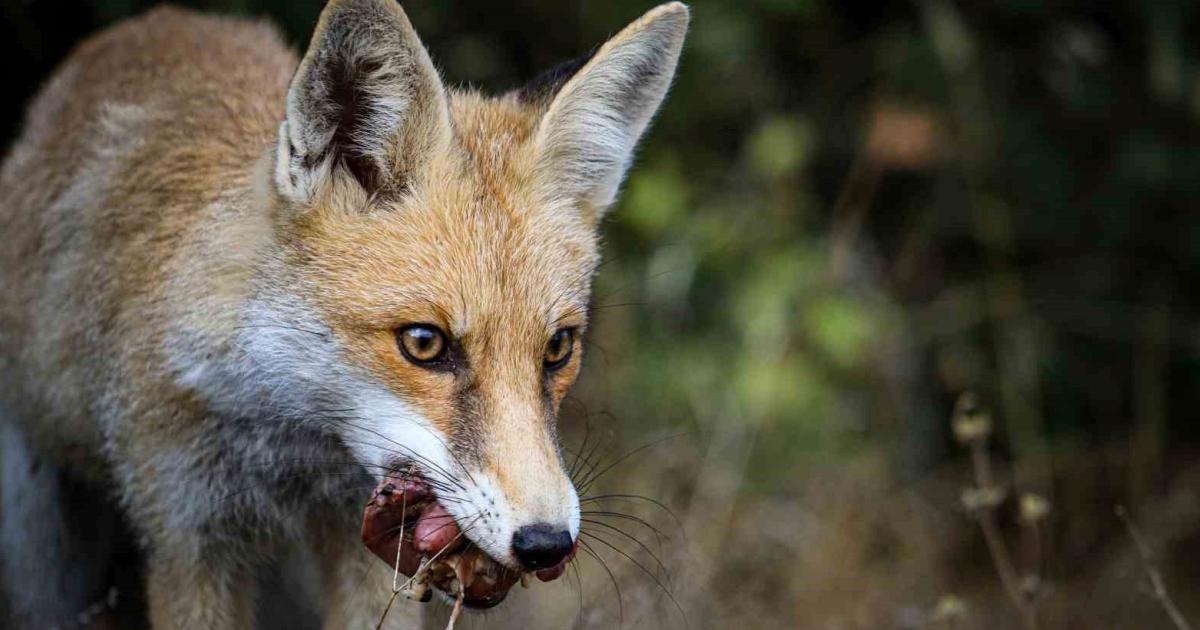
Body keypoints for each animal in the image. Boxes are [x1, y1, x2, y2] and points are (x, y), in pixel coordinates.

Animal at [0, 0, 686, 624]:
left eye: (557, 348)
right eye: (423, 343)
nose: (547, 544)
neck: (291, 448)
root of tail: (158, 20)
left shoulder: (364, 546)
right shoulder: (186, 536)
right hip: (43, 553)